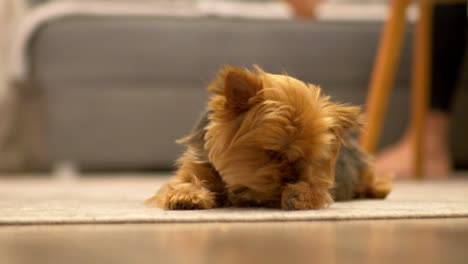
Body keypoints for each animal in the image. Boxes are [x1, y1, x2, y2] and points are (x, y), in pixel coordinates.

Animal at [146, 66, 392, 210]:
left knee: (369, 179)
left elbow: (315, 189)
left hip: (361, 169)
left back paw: (379, 189)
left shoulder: (319, 184)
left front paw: (298, 193)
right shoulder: (197, 164)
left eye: (308, 159)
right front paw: (186, 196)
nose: (292, 177)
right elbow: (183, 182)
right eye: (273, 153)